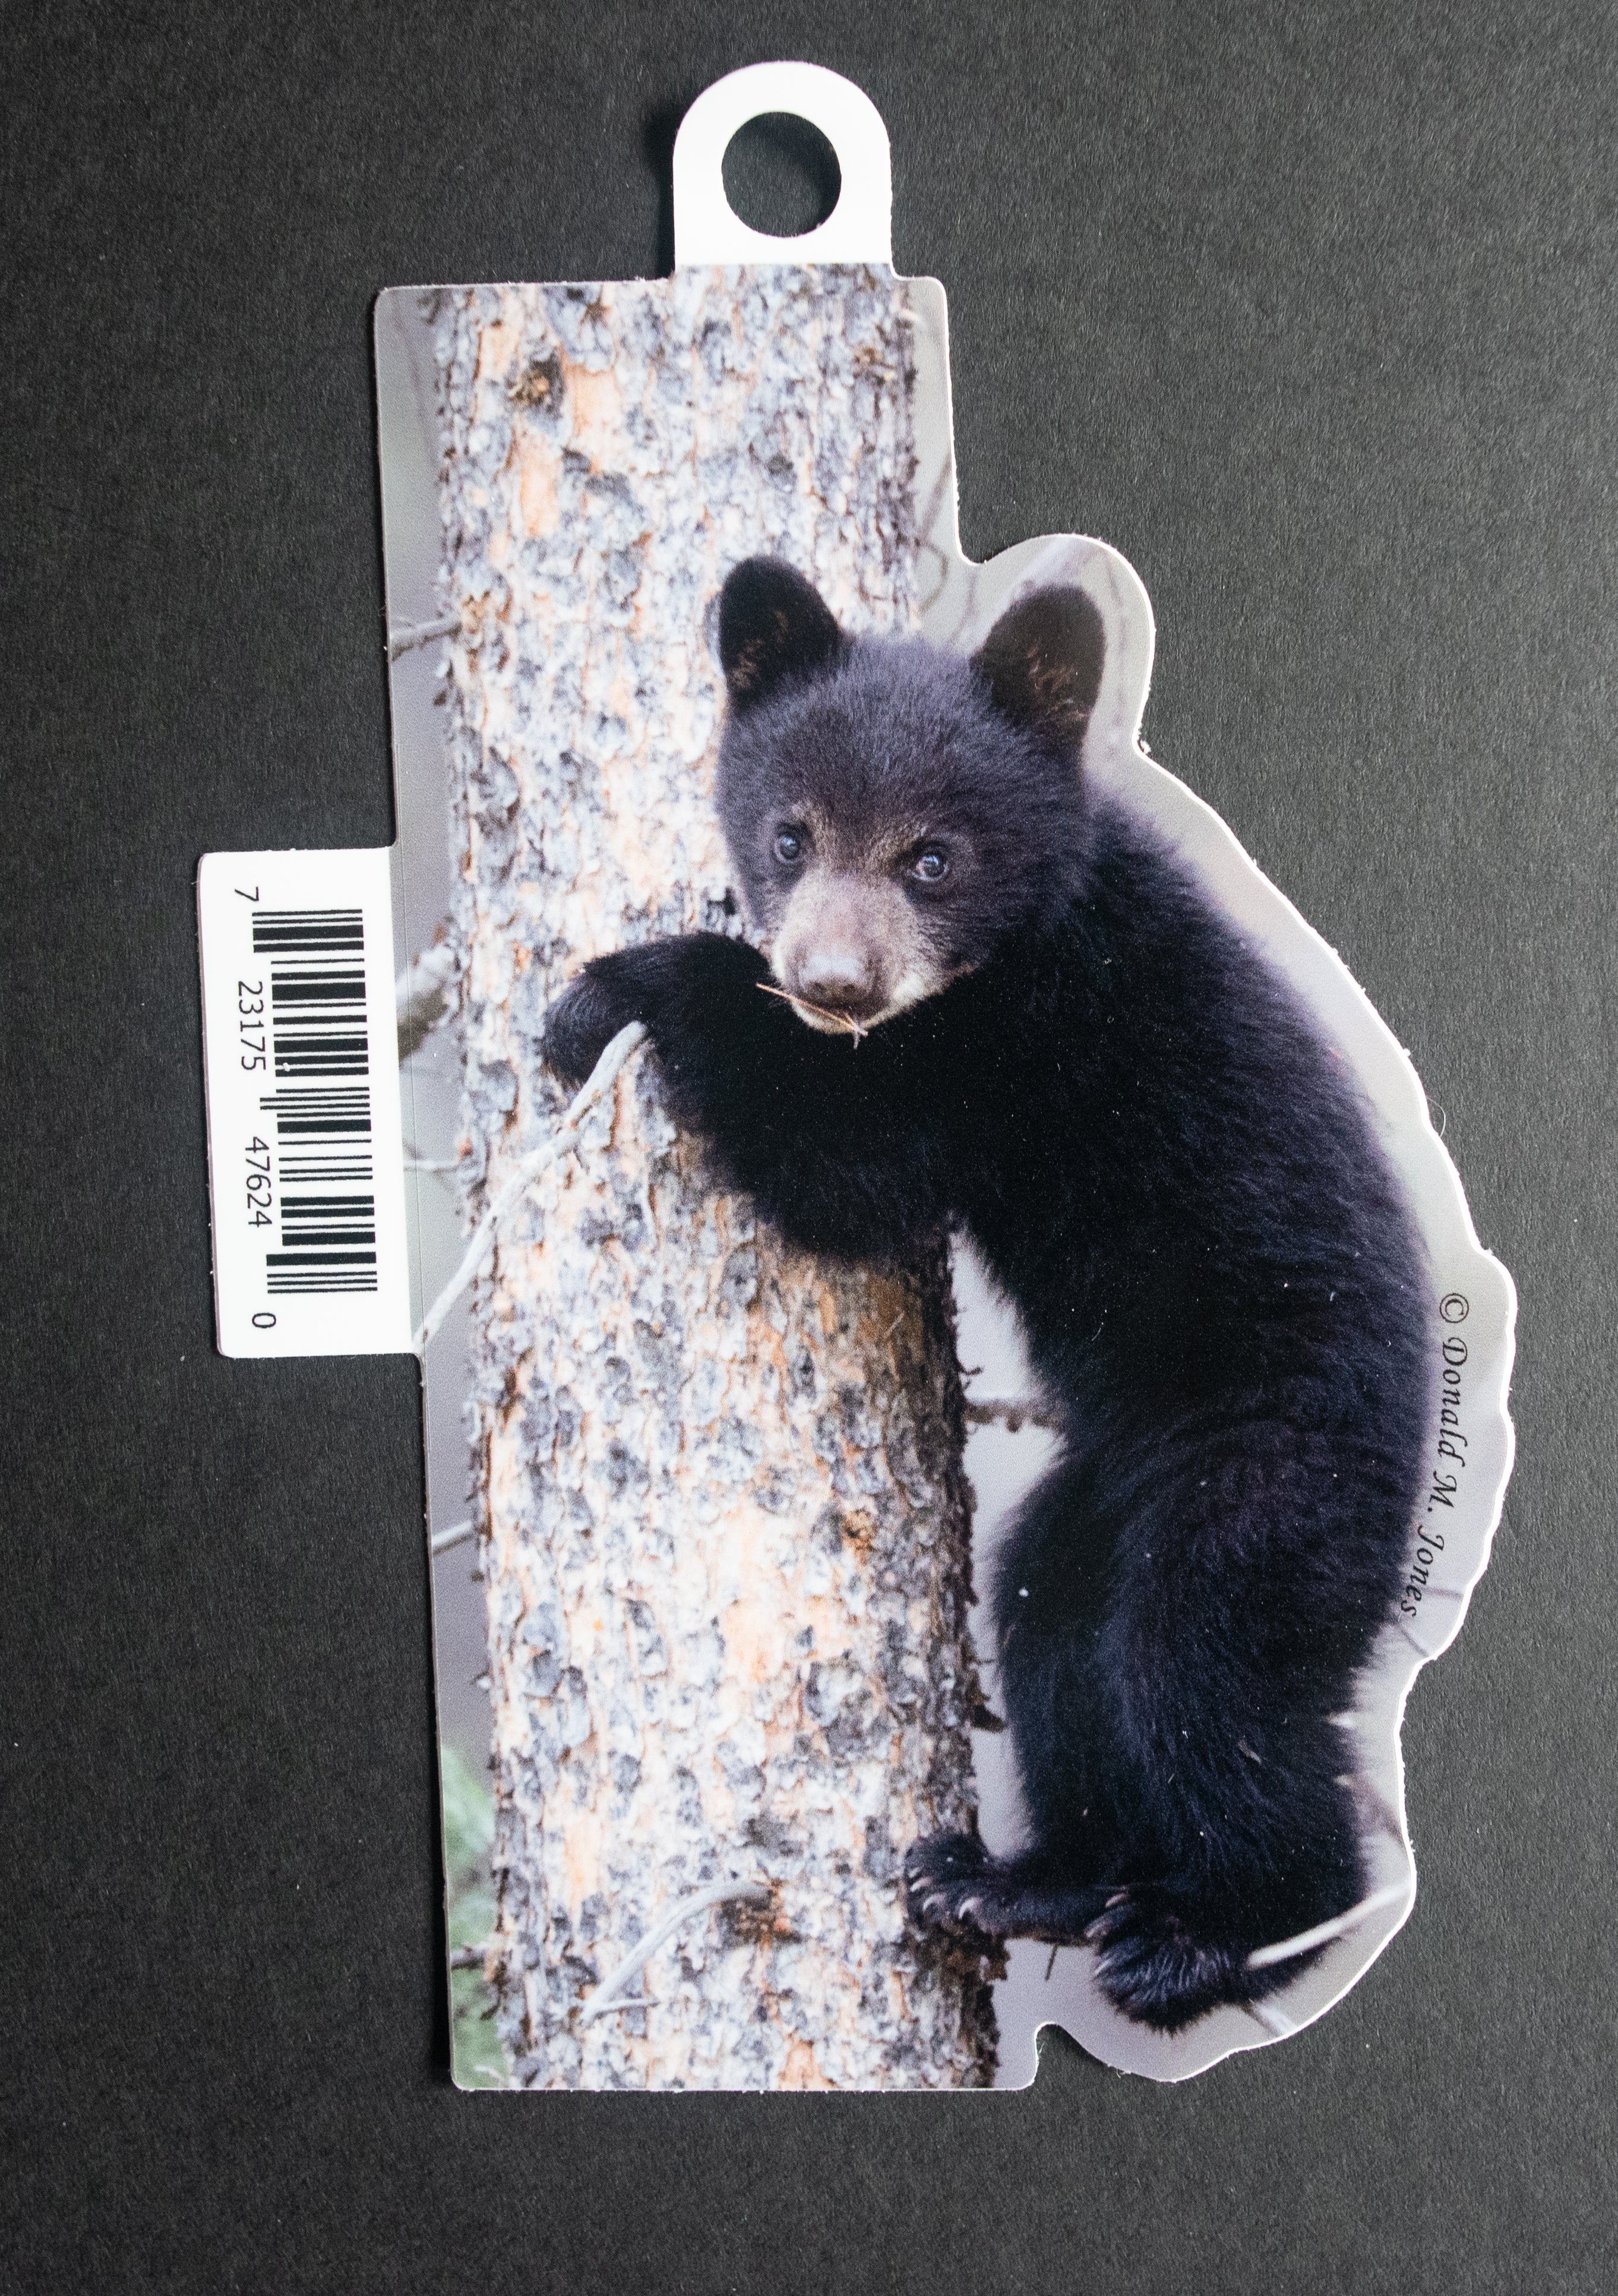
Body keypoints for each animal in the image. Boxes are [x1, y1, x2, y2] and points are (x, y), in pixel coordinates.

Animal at [543, 555, 1433, 2032]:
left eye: (932, 856)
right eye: (789, 837)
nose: (835, 981)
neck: (1032, 927)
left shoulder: (1017, 1050)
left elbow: (844, 1172)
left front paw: (619, 988)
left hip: (1271, 1489)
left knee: (1213, 1673)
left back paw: (1214, 1938)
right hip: (1102, 1501)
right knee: (1055, 1624)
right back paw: (1022, 1882)